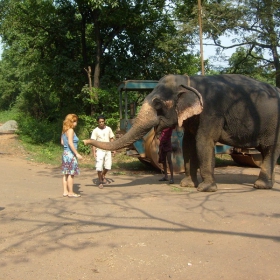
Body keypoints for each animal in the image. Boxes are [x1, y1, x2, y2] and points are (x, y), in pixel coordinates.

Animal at [83, 74, 280, 192]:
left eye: (158, 104)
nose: (84, 141)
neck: (189, 81)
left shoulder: (211, 112)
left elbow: (203, 141)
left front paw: (204, 189)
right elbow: (188, 144)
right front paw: (187, 185)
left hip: (274, 124)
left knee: (269, 149)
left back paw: (260, 185)